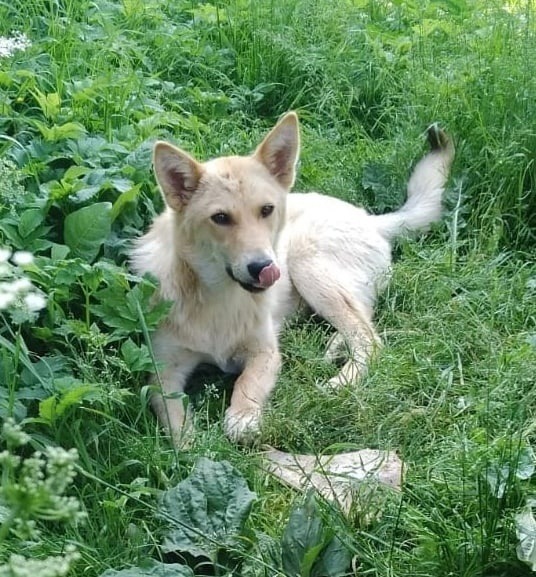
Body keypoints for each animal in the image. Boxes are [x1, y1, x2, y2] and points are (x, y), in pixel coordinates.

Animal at [130, 113, 452, 446]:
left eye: (266, 210)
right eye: (220, 218)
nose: (263, 266)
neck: (219, 297)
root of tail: (370, 218)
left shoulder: (265, 351)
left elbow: (247, 383)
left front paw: (243, 417)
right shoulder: (163, 371)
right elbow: (173, 416)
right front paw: (190, 443)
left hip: (306, 264)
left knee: (368, 338)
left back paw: (339, 382)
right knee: (362, 320)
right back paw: (335, 348)